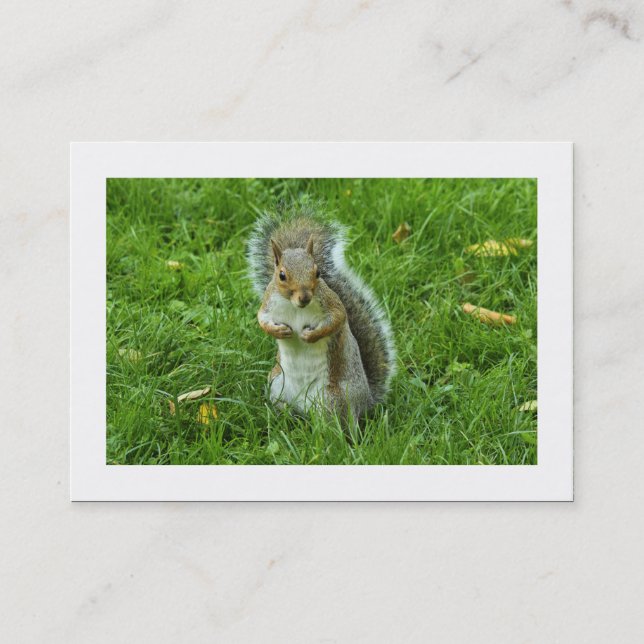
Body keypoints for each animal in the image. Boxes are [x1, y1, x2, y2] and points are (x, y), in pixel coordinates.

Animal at [247, 208, 396, 421]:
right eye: (281, 275)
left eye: (317, 273)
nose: (304, 297)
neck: (295, 307)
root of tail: (366, 401)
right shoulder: (268, 303)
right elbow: (262, 319)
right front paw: (279, 332)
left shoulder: (331, 304)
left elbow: (337, 319)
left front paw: (310, 335)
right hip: (276, 385)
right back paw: (283, 416)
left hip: (333, 400)